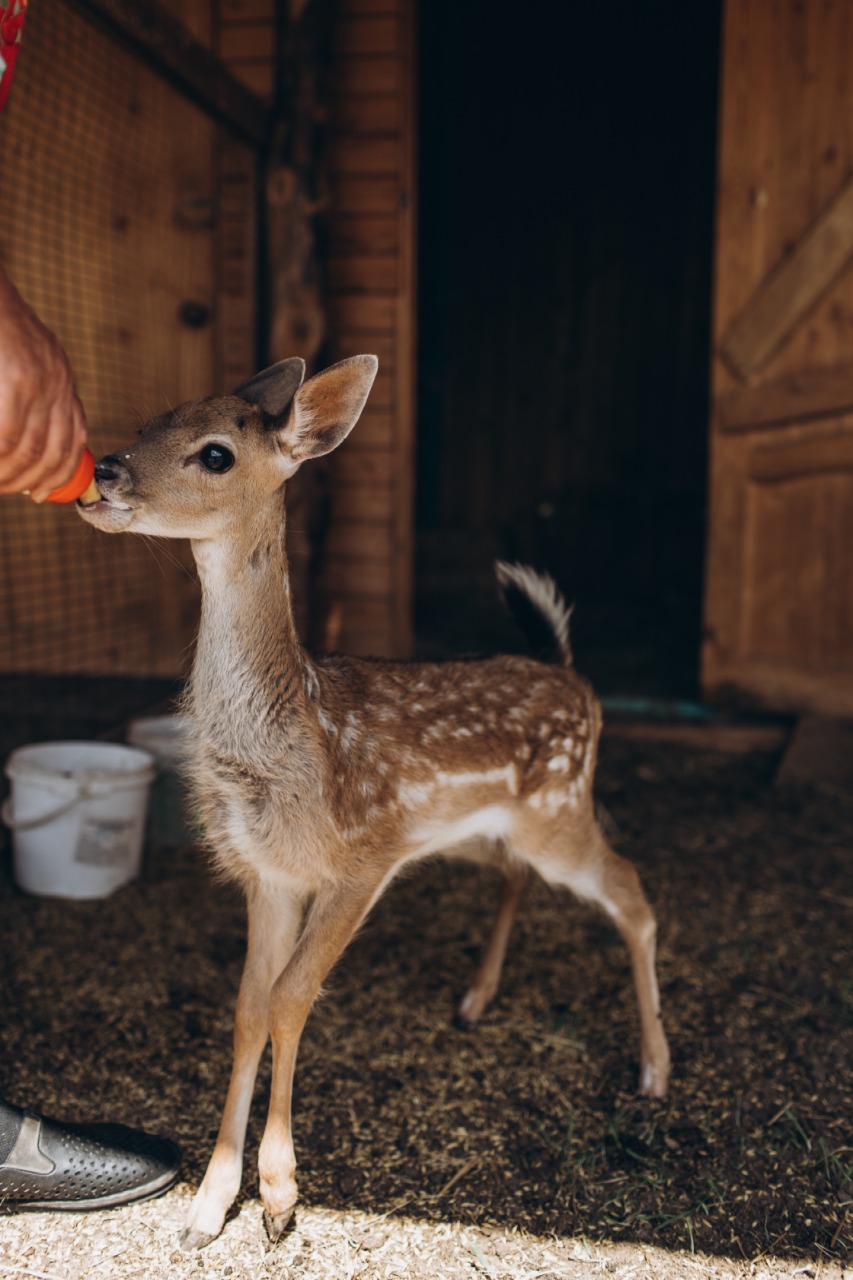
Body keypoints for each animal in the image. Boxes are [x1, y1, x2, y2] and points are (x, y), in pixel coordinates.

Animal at [78, 358, 666, 1249]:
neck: (294, 733)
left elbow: (291, 998)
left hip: (560, 809)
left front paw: (279, 1194)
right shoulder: (269, 873)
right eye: (151, 420)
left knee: (633, 892)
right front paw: (210, 1204)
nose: (103, 471)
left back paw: (654, 1069)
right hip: (485, 827)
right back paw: (474, 1000)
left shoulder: (366, 854)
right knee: (517, 875)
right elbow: (248, 1006)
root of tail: (574, 677)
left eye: (214, 454)